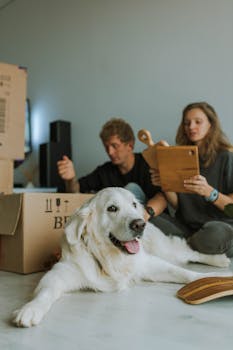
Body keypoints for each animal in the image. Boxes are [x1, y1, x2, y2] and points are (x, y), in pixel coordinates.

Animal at [13, 187, 230, 326]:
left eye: (133, 204)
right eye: (112, 208)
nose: (140, 224)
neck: (109, 258)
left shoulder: (148, 263)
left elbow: (185, 273)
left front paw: (212, 279)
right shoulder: (61, 272)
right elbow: (46, 291)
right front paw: (30, 309)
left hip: (165, 249)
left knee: (191, 253)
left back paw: (219, 260)